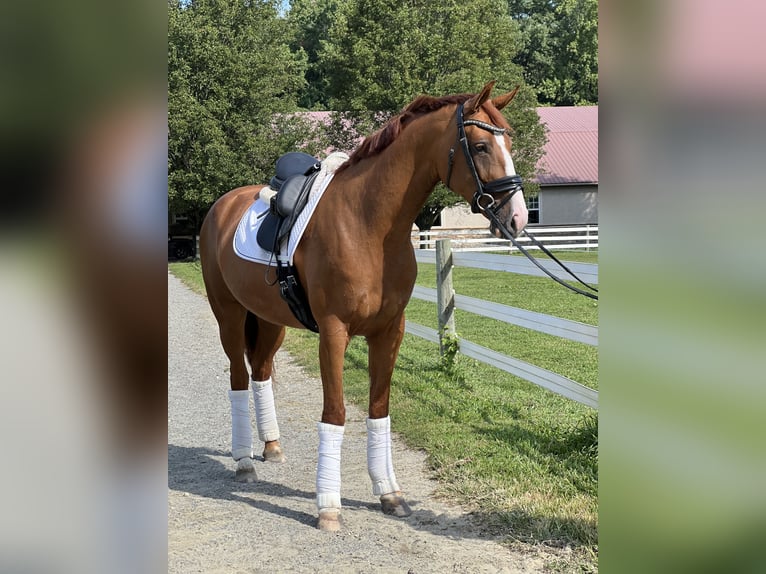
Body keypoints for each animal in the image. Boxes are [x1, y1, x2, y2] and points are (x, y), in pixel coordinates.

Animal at [201, 80, 532, 532]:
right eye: (481, 146)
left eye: (509, 141)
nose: (517, 217)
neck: (368, 224)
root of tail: (223, 205)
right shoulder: (334, 332)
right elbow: (336, 413)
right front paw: (328, 507)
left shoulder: (390, 330)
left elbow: (378, 409)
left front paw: (389, 494)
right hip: (230, 316)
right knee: (237, 376)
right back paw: (244, 462)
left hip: (270, 322)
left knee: (261, 373)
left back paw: (270, 446)